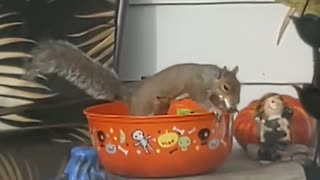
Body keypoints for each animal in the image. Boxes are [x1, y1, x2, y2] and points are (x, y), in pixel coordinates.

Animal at [23, 39, 241, 116]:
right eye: (227, 87)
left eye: (240, 85)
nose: (236, 102)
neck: (210, 78)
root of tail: (130, 95)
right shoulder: (195, 86)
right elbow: (202, 99)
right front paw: (216, 108)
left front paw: (225, 107)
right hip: (144, 108)